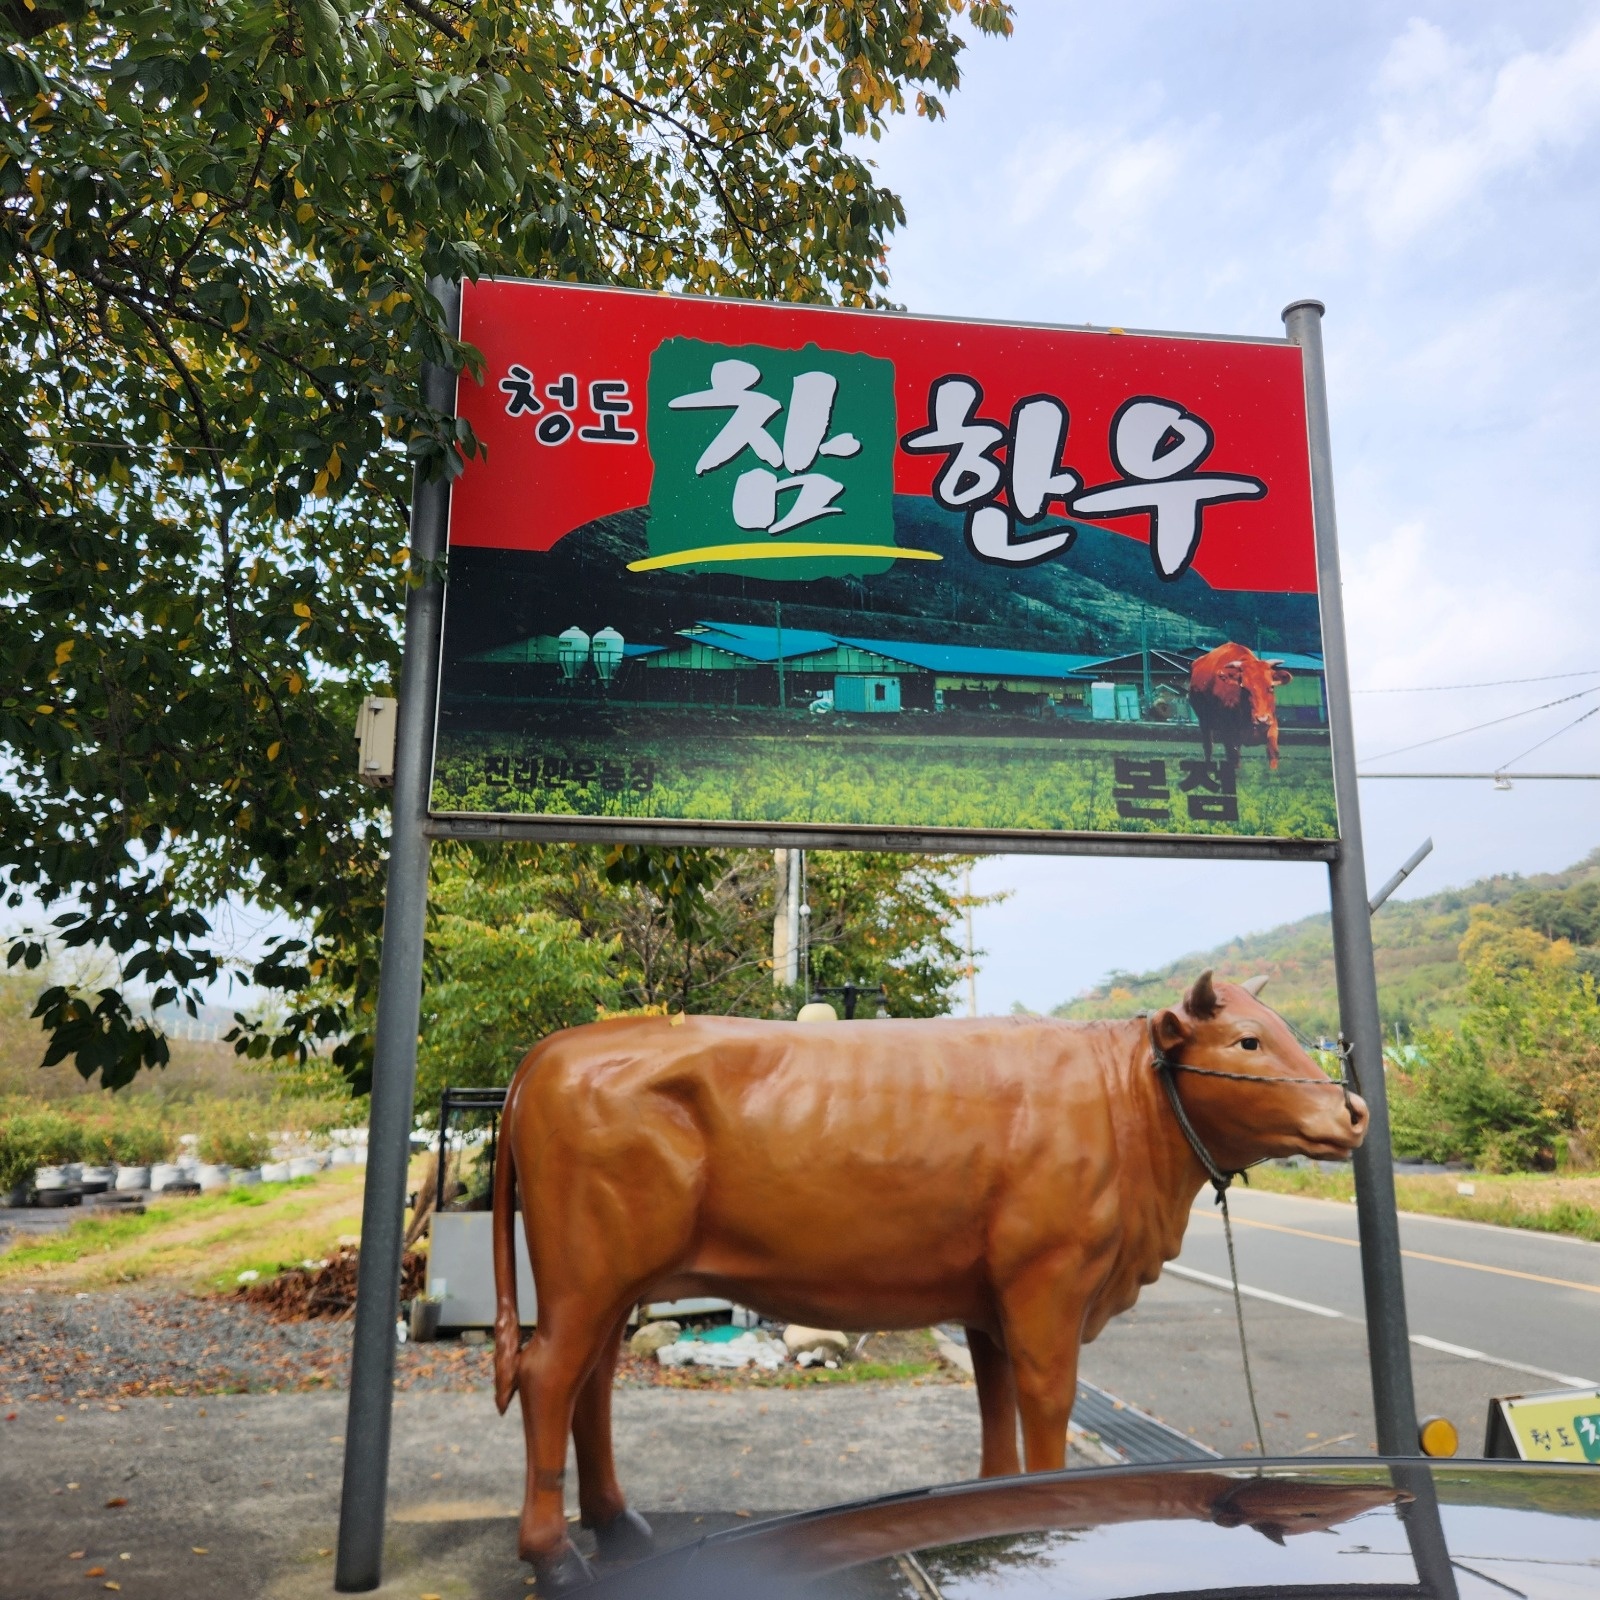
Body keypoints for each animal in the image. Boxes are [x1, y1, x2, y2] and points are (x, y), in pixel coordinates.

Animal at [492, 960, 1369, 1587]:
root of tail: (550, 1050)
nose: (1354, 1111)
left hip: (610, 1280)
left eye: (1285, 1030)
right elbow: (1045, 1405)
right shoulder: (1049, 1288)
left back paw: (617, 1526)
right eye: (1248, 1041)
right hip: (587, 1273)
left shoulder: (989, 1302)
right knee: (549, 1376)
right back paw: (553, 1555)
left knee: (592, 1385)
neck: (1125, 1106)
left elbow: (994, 1411)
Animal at [1190, 636, 1299, 768]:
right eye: (1245, 688)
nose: (1262, 719)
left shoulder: (1272, 724)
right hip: (1204, 722)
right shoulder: (1229, 734)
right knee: (1208, 747)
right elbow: (1233, 758)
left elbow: (1273, 752)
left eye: (1271, 687)